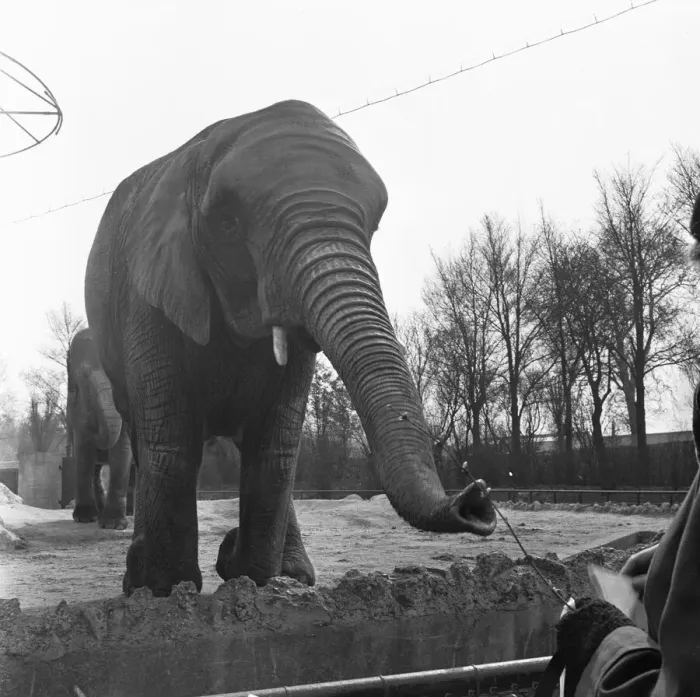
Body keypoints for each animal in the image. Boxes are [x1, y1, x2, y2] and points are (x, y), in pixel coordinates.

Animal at [66, 327, 133, 529]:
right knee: (95, 470)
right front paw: (84, 519)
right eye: (83, 376)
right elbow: (83, 450)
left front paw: (113, 525)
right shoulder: (76, 407)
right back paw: (97, 514)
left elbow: (122, 451)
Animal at [84, 99, 497, 598]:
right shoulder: (148, 293)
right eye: (229, 223)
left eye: (374, 225)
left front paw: (251, 579)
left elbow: (275, 446)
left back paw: (290, 574)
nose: (477, 498)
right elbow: (172, 438)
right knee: (145, 438)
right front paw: (162, 591)